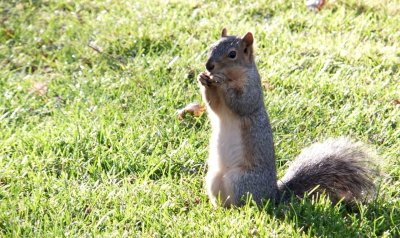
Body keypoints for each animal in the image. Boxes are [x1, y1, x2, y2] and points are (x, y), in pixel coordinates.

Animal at [197, 27, 378, 206]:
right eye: (212, 47)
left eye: (232, 54)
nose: (209, 65)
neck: (234, 76)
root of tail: (273, 196)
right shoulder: (219, 104)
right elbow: (214, 105)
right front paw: (203, 78)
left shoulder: (252, 89)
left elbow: (242, 102)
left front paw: (220, 80)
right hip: (214, 179)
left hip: (240, 181)